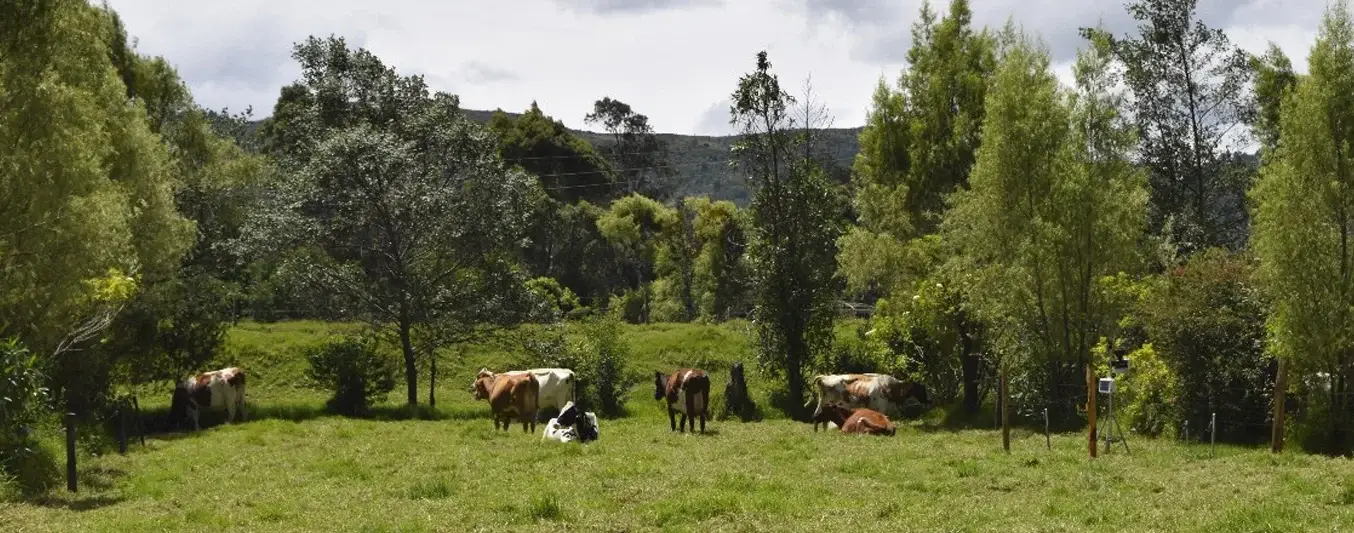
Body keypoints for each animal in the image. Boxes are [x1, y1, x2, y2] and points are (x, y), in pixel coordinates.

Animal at [801, 373, 931, 430]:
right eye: (922, 390)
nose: (927, 400)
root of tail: (825, 376)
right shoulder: (880, 407)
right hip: (825, 403)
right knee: (818, 416)